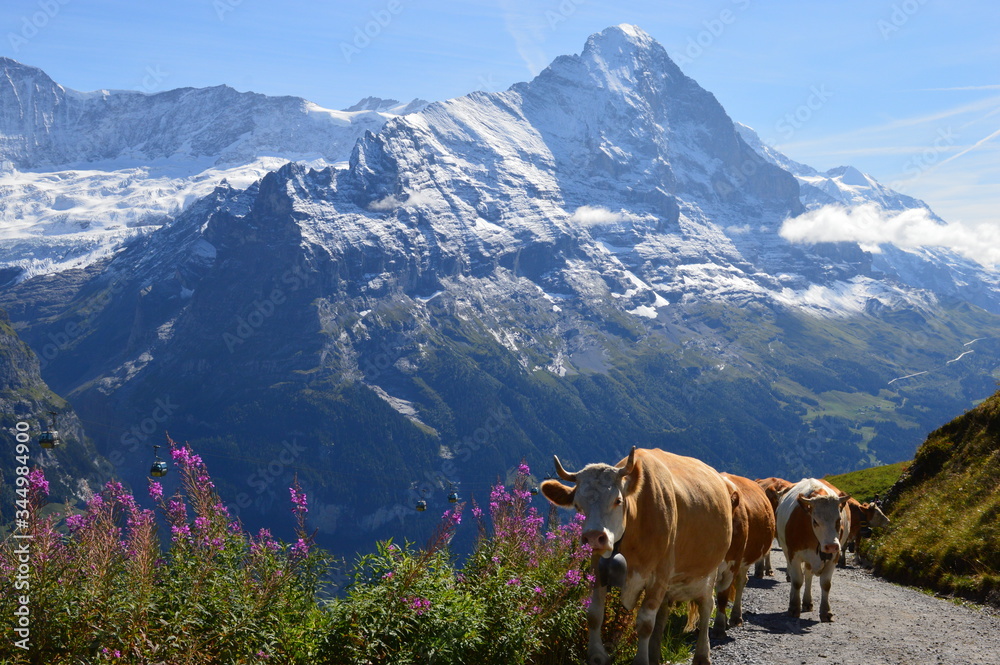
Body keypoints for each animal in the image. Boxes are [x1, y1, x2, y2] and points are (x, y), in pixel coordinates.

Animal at [541, 447, 734, 665]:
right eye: (578, 505)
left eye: (617, 501)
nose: (593, 537)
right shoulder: (597, 569)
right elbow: (594, 614)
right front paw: (597, 655)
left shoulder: (659, 575)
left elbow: (645, 623)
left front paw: (641, 660)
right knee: (664, 613)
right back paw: (655, 654)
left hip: (711, 569)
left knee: (706, 605)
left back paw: (702, 654)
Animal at [711, 473, 777, 637]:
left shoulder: (732, 565)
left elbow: (722, 596)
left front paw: (719, 627)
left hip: (744, 561)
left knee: (741, 582)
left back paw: (735, 617)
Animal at [776, 478, 850, 622]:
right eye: (815, 521)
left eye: (838, 520)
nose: (831, 546)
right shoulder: (793, 554)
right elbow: (797, 581)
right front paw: (794, 608)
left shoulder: (834, 557)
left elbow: (826, 584)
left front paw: (826, 611)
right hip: (786, 550)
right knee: (795, 576)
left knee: (809, 576)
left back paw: (807, 602)